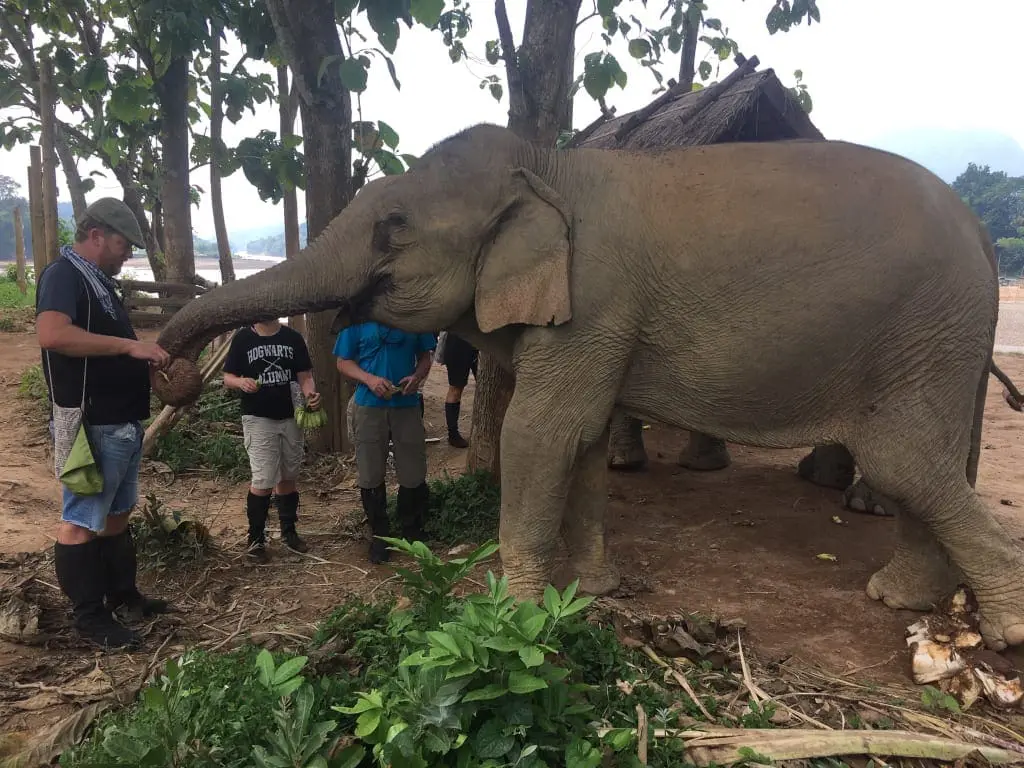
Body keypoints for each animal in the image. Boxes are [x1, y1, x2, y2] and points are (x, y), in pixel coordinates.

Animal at [149, 124, 1024, 651]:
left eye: (393, 226)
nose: (170, 371)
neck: (548, 167)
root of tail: (988, 239)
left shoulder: (597, 300)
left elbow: (544, 431)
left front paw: (510, 611)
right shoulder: (597, 318)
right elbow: (586, 439)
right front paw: (596, 588)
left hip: (924, 331)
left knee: (905, 458)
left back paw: (1003, 628)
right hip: (937, 342)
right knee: (922, 465)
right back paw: (901, 600)